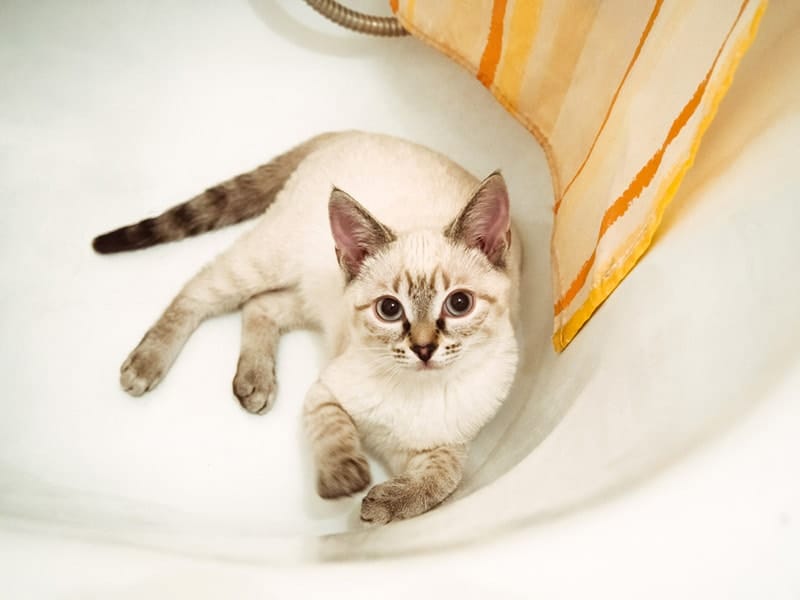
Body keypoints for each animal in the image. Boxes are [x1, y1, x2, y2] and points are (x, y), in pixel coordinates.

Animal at [94, 129, 520, 524]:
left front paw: (383, 504)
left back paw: (254, 380)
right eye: (389, 309)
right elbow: (334, 432)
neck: (417, 391)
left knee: (260, 305)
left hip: (313, 295)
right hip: (268, 261)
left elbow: (444, 478)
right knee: (200, 291)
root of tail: (355, 132)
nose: (424, 348)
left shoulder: (442, 447)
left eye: (459, 304)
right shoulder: (325, 391)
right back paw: (146, 365)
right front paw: (345, 476)